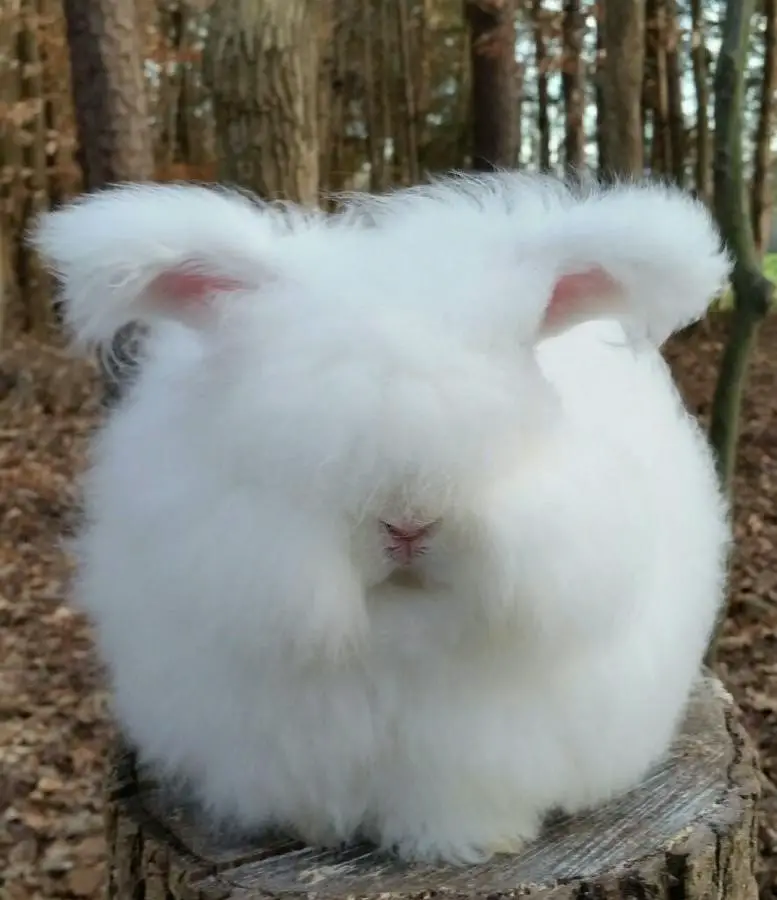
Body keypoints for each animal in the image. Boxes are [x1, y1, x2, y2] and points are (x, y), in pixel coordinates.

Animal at [30, 169, 732, 864]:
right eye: (297, 446)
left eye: (510, 435)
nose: (408, 527)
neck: (404, 631)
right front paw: (315, 829)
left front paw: (467, 843)